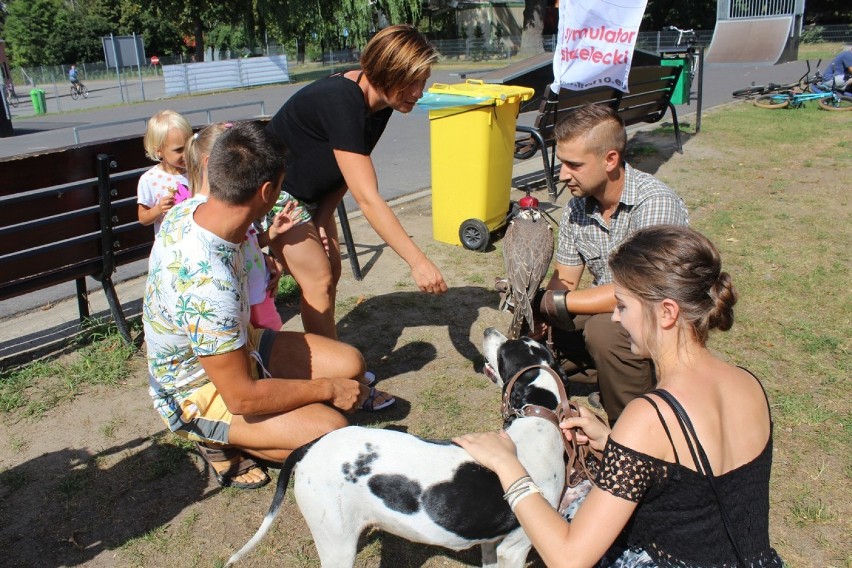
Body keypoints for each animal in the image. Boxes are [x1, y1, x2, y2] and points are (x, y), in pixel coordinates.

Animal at [230, 328, 568, 568]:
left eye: (508, 348)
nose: (488, 330)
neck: (537, 420)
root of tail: (313, 446)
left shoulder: (494, 545)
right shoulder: (514, 549)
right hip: (337, 545)